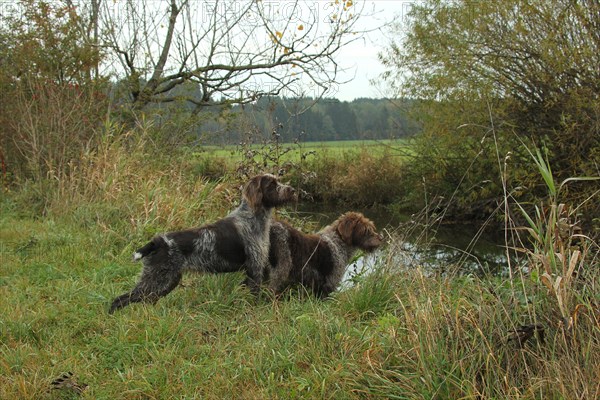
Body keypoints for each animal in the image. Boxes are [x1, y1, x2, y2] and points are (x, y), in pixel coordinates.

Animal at [109, 173, 296, 314]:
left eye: (278, 180)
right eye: (271, 184)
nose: (292, 190)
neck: (252, 216)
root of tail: (157, 242)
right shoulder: (255, 267)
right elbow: (254, 295)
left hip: (166, 281)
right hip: (156, 279)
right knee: (119, 300)